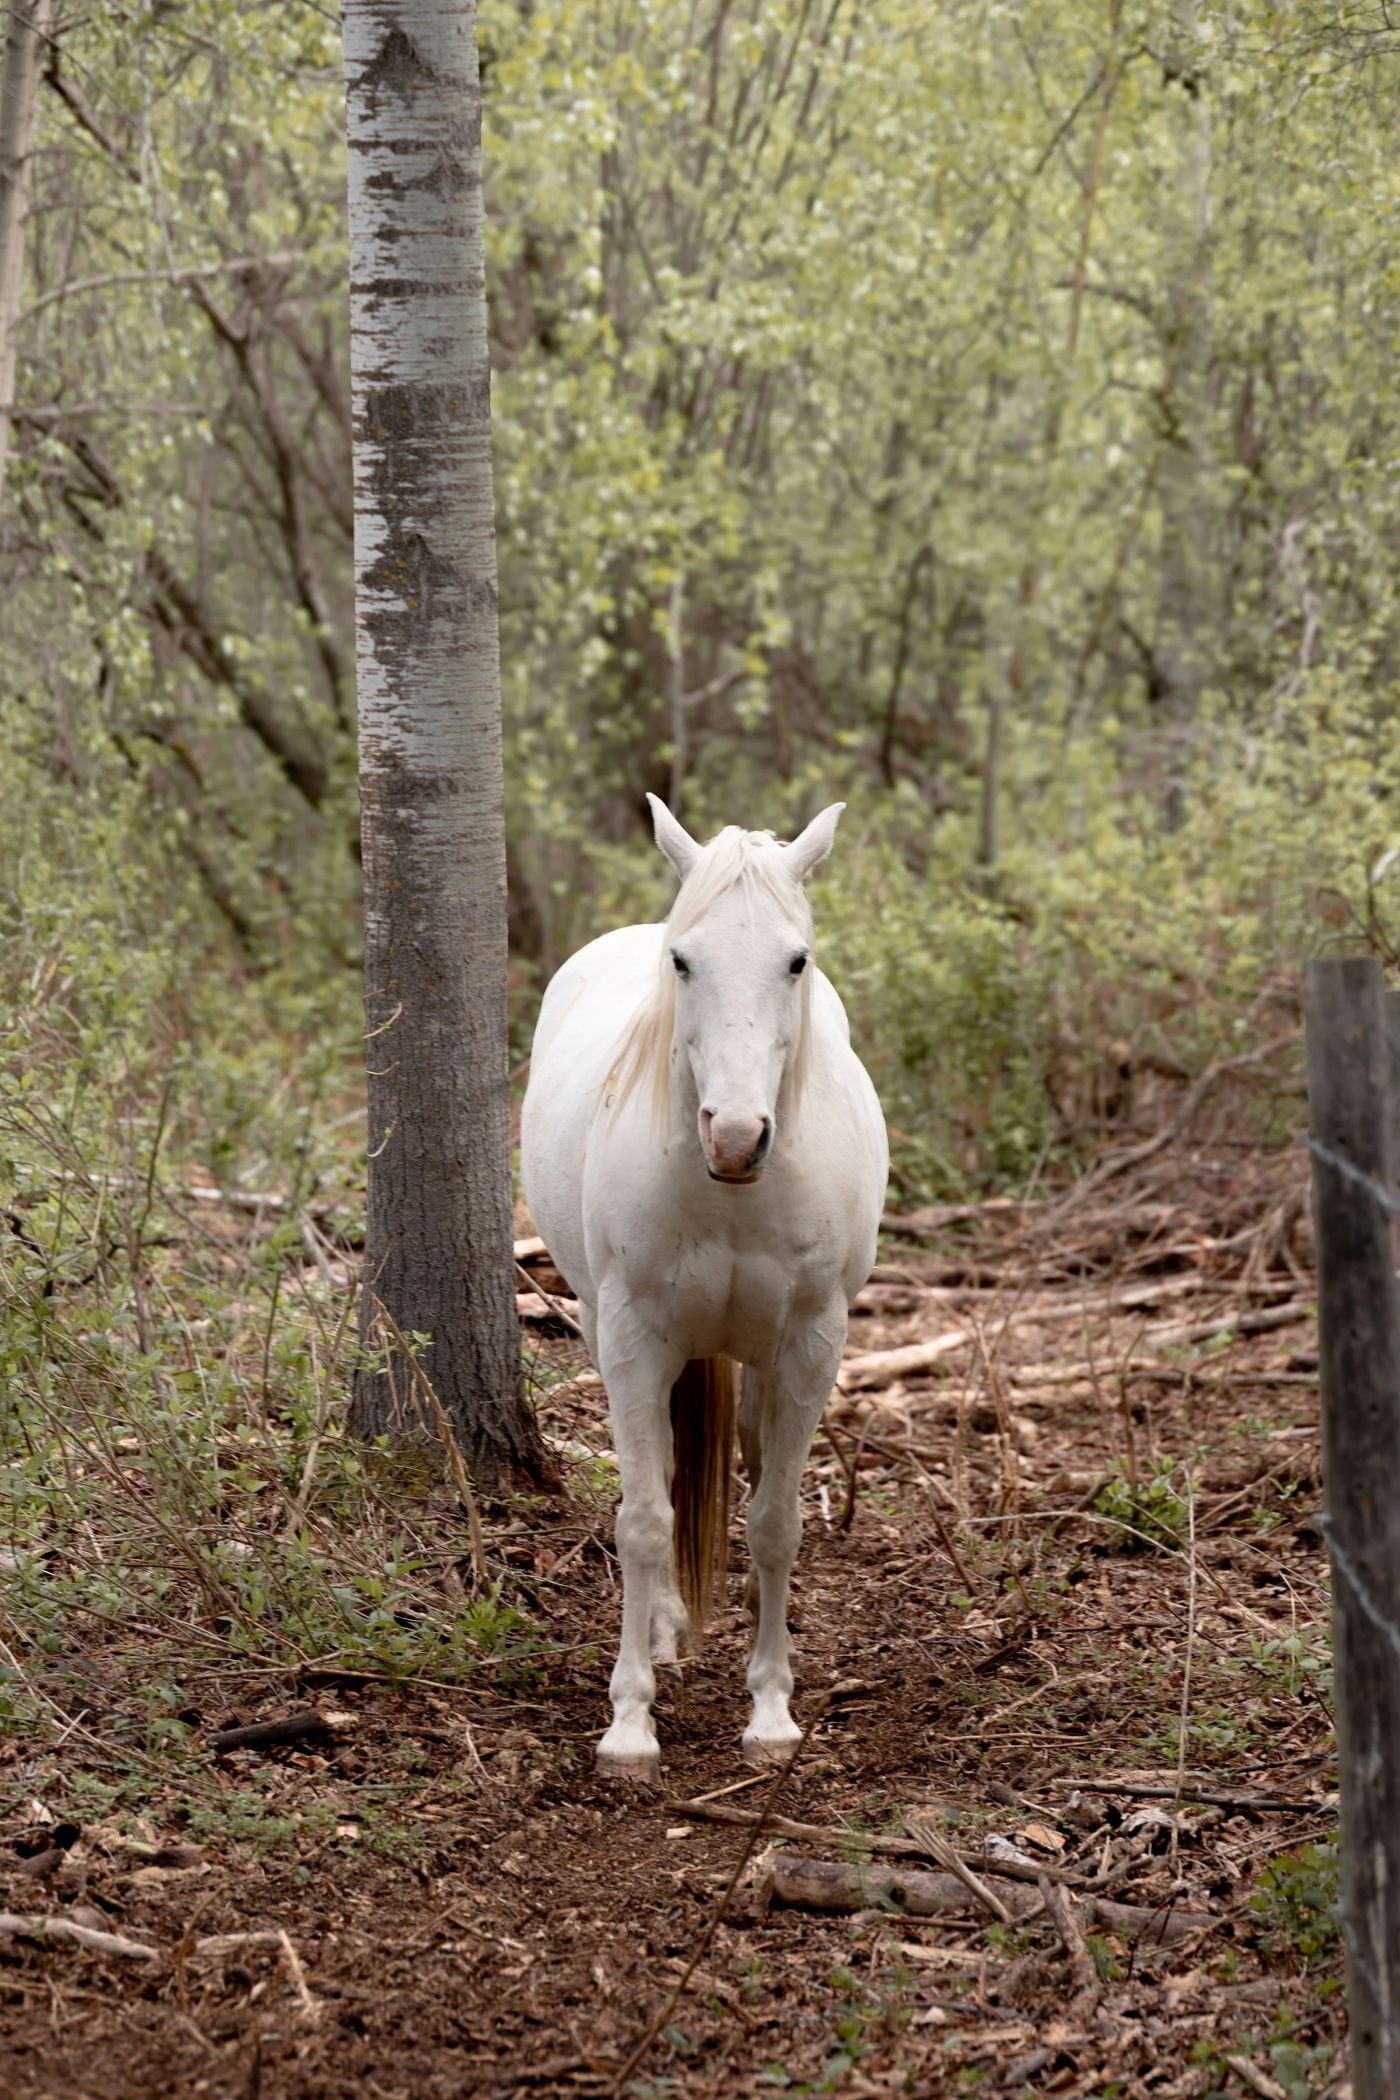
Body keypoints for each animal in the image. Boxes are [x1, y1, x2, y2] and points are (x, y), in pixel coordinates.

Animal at [521, 796, 888, 1778]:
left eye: (796, 960)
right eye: (683, 960)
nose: (734, 1136)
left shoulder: (812, 1344)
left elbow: (775, 1522)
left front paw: (771, 1712)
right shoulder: (632, 1339)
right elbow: (645, 1518)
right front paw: (629, 1720)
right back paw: (664, 1629)